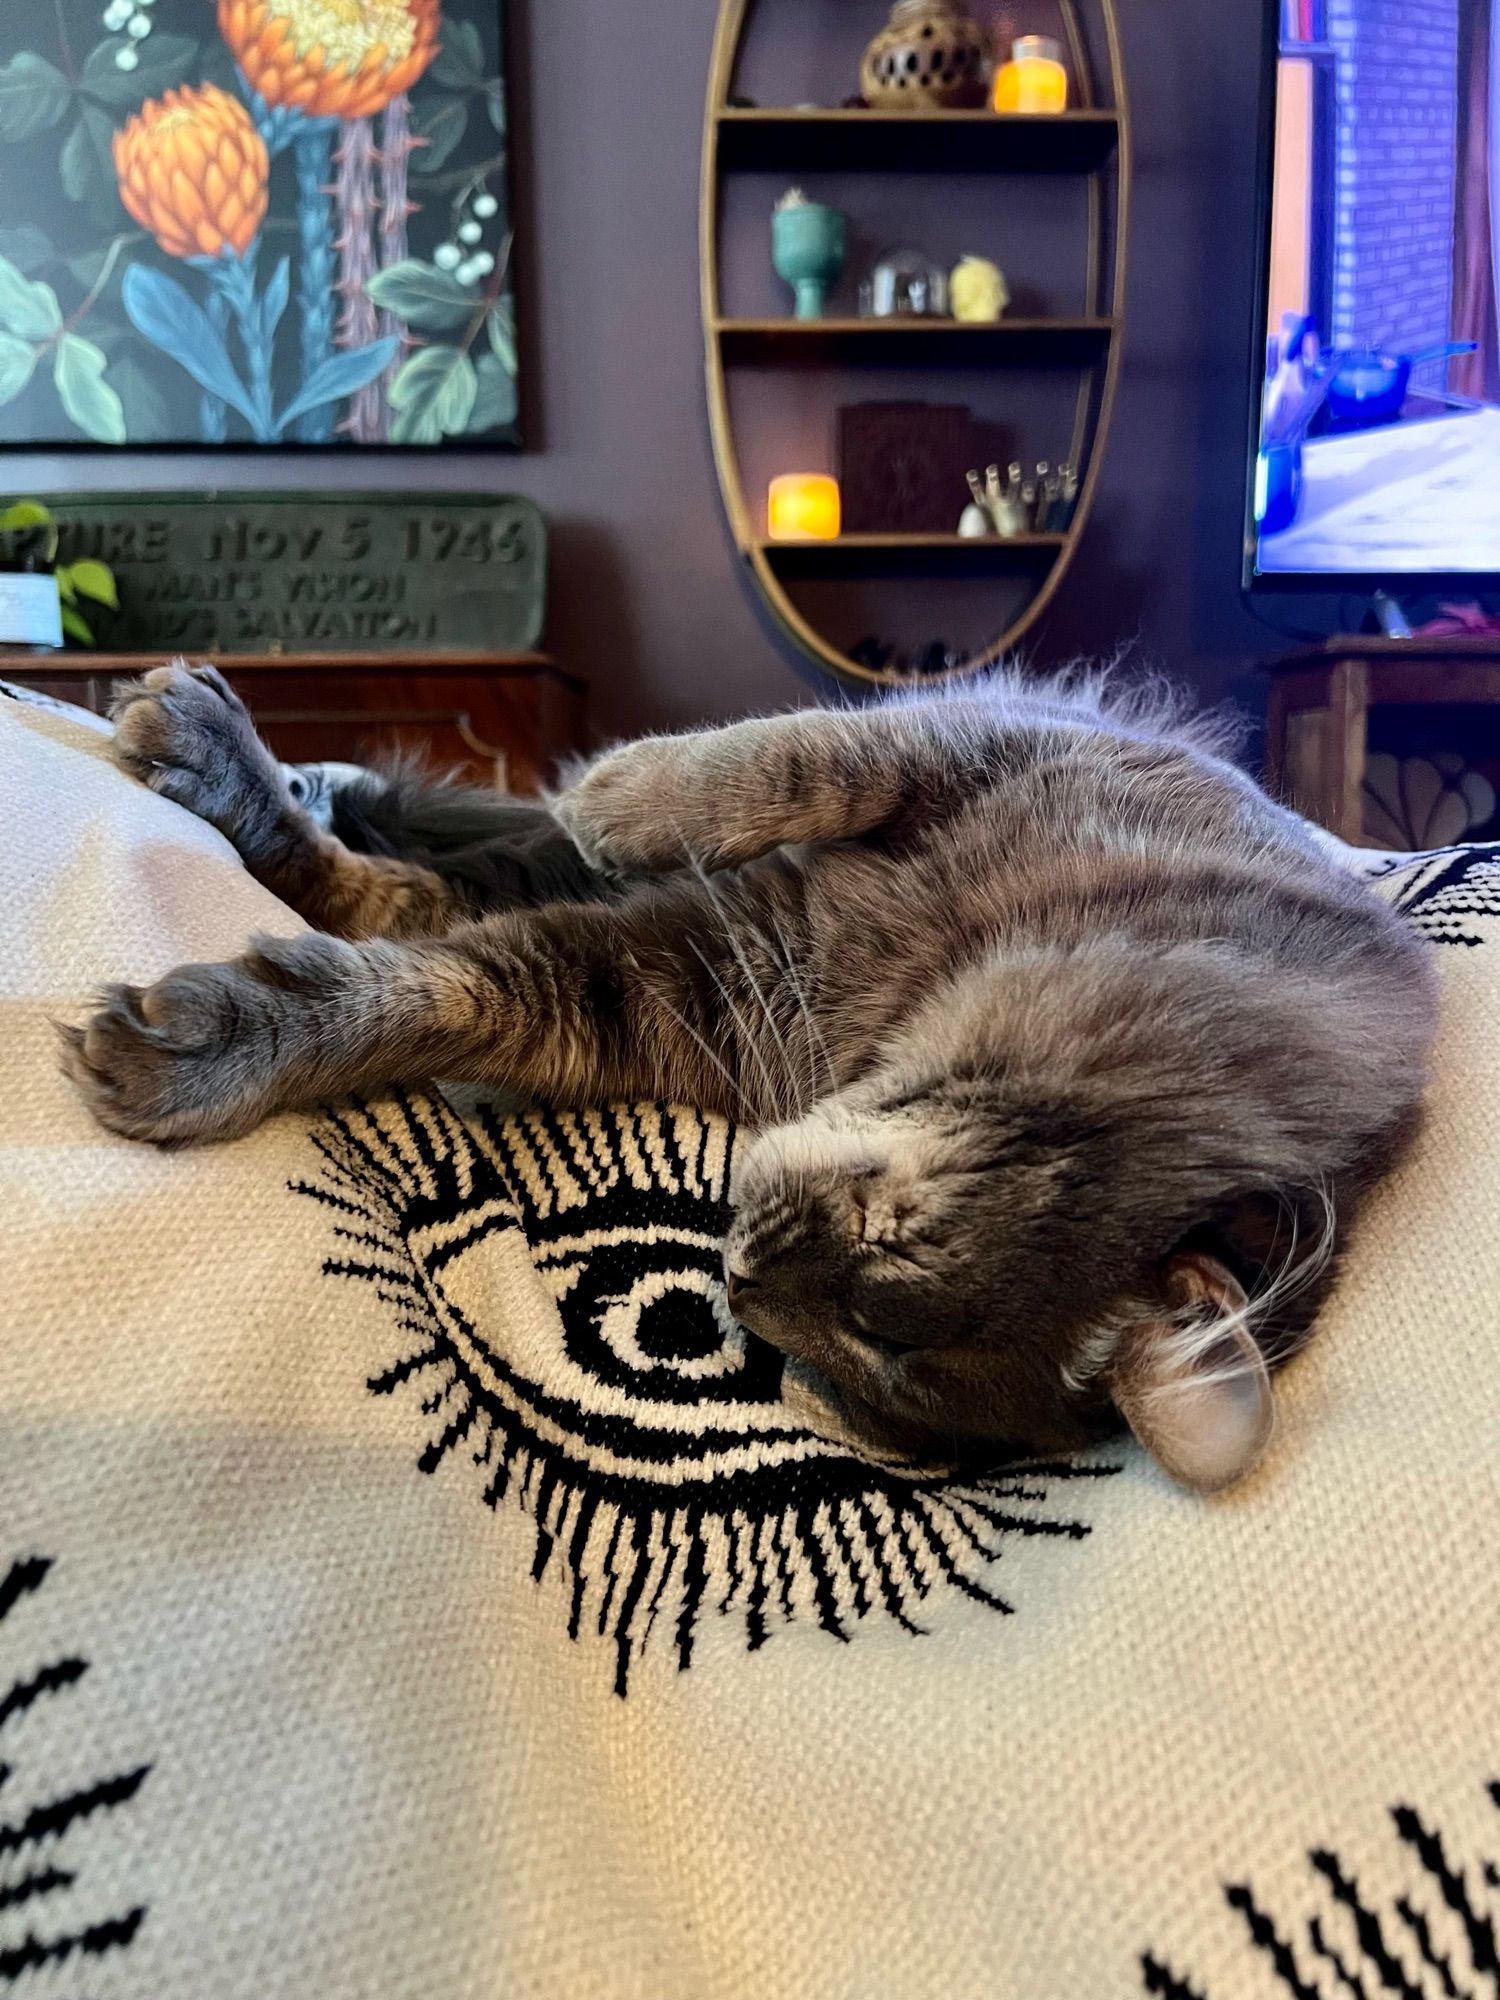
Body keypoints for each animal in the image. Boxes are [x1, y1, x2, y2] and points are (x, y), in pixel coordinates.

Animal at [64, 664, 1440, 1496]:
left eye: (851, 1362)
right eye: (887, 1260)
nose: (737, 1273)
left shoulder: (667, 980)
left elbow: (429, 985)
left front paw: (218, 1043)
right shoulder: (993, 738)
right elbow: (788, 760)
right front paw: (615, 789)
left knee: (400, 884)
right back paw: (250, 755)